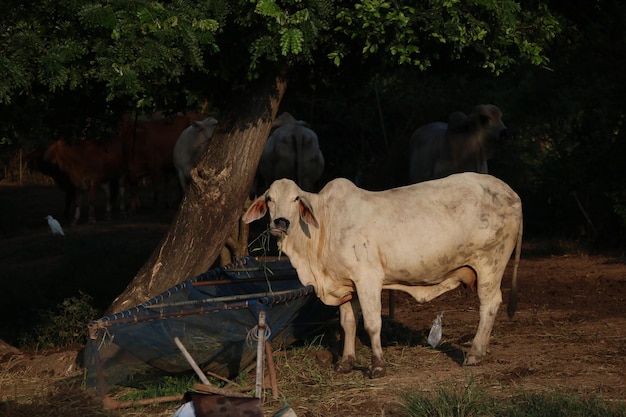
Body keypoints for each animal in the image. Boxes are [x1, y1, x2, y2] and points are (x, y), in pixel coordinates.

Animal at [244, 171, 520, 376]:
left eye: (296, 199)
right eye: (269, 198)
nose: (280, 222)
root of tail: (510, 192)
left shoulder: (368, 279)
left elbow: (372, 323)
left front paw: (377, 365)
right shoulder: (347, 285)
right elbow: (348, 323)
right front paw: (346, 363)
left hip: (490, 265)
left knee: (489, 305)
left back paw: (474, 354)